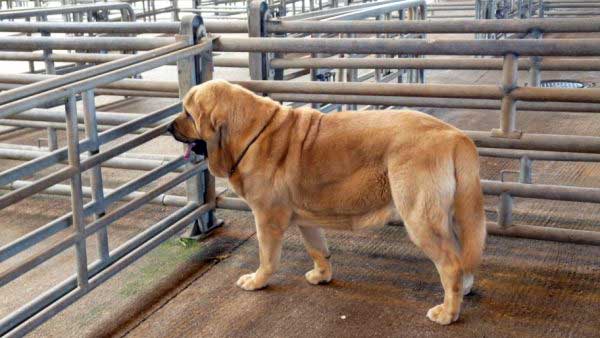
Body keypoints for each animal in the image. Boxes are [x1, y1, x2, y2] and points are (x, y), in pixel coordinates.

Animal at [166, 78, 486, 324]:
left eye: (188, 113)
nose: (168, 127)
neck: (248, 133)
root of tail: (455, 137)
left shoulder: (267, 219)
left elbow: (267, 258)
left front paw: (257, 281)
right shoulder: (306, 219)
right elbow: (318, 250)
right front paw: (322, 275)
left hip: (421, 219)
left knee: (451, 264)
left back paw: (448, 313)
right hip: (451, 216)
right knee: (462, 256)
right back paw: (463, 290)